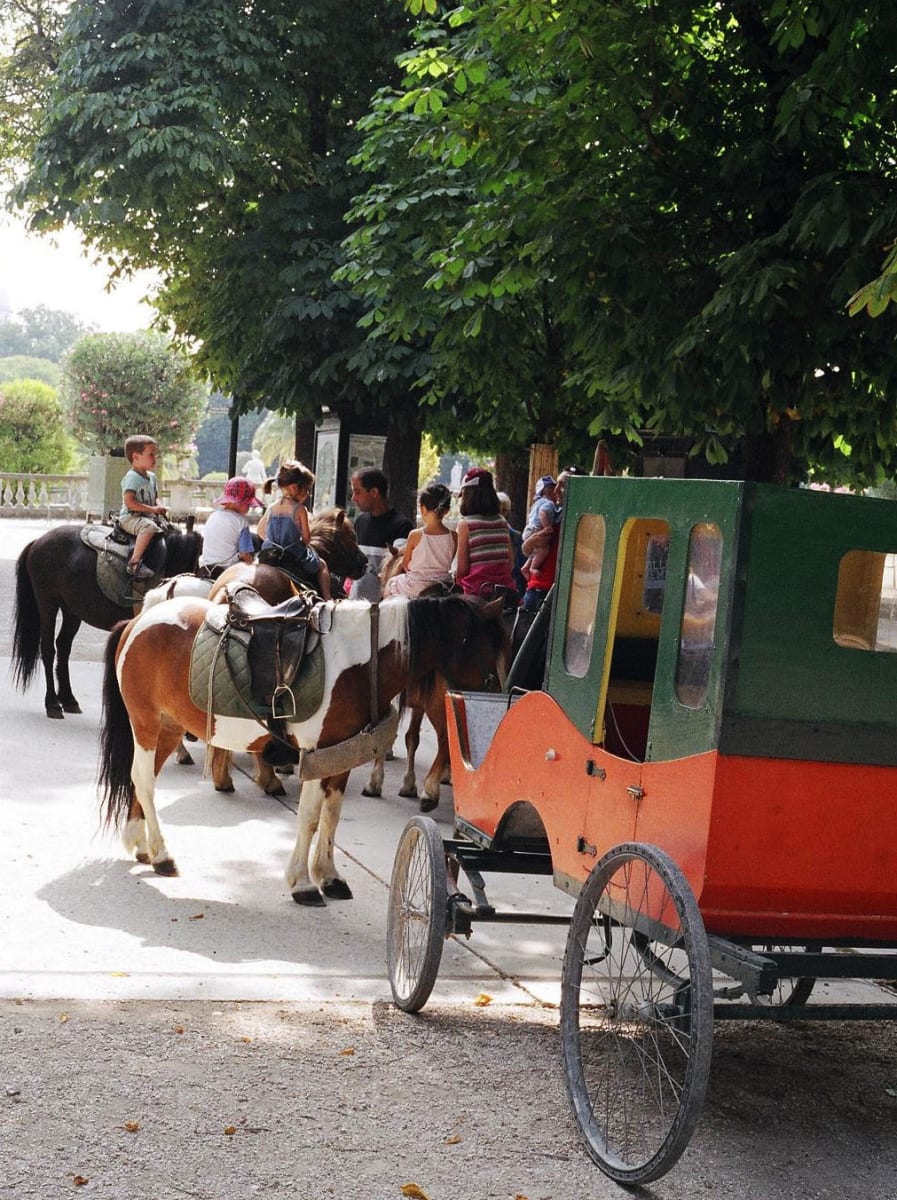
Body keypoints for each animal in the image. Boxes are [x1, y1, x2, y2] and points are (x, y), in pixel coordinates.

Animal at [11, 520, 201, 715]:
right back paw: (52, 703)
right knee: (48, 649)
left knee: (63, 646)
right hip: (47, 602)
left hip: (72, 610)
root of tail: (38, 541)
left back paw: (68, 699)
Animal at [98, 585, 508, 902]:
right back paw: (162, 855)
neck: (359, 663)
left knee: (140, 780)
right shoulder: (316, 754)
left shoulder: (341, 757)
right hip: (146, 725)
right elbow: (310, 817)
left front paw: (329, 876)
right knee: (145, 782)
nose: (497, 709)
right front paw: (303, 884)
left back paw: (142, 845)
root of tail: (136, 622)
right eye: (488, 658)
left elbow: (332, 815)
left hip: (167, 728)